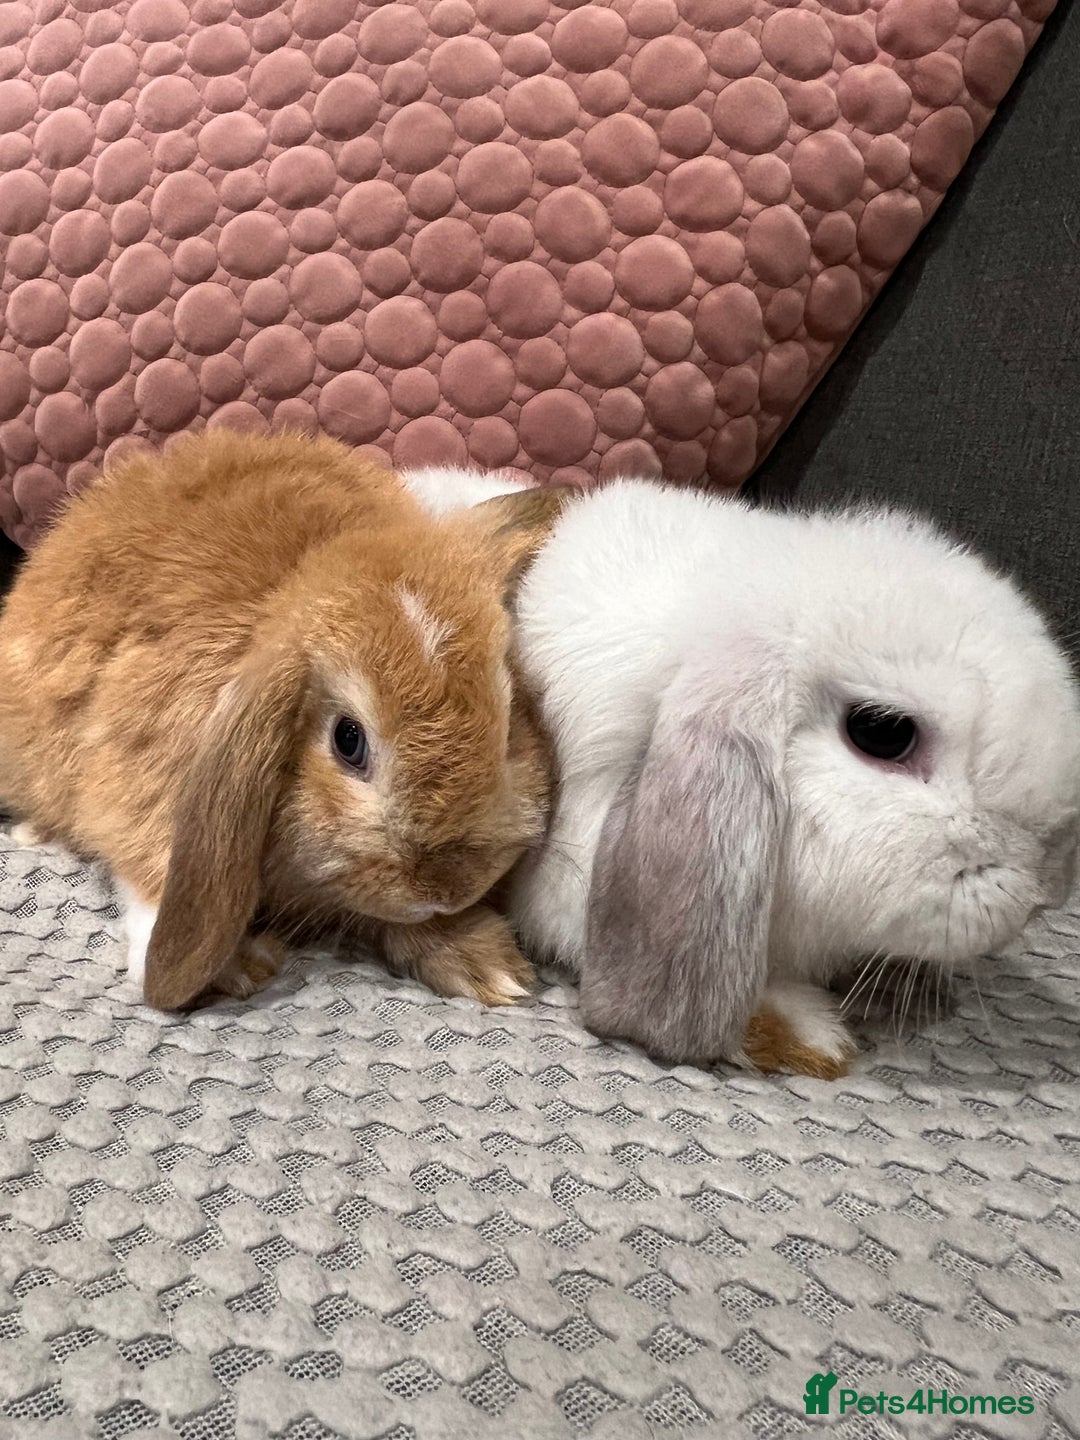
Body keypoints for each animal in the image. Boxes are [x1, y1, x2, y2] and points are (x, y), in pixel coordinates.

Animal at [0, 431, 567, 1012]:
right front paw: (233, 969)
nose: (446, 888)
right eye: (348, 740)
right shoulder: (135, 778)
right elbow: (147, 868)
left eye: (508, 723)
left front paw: (486, 965)